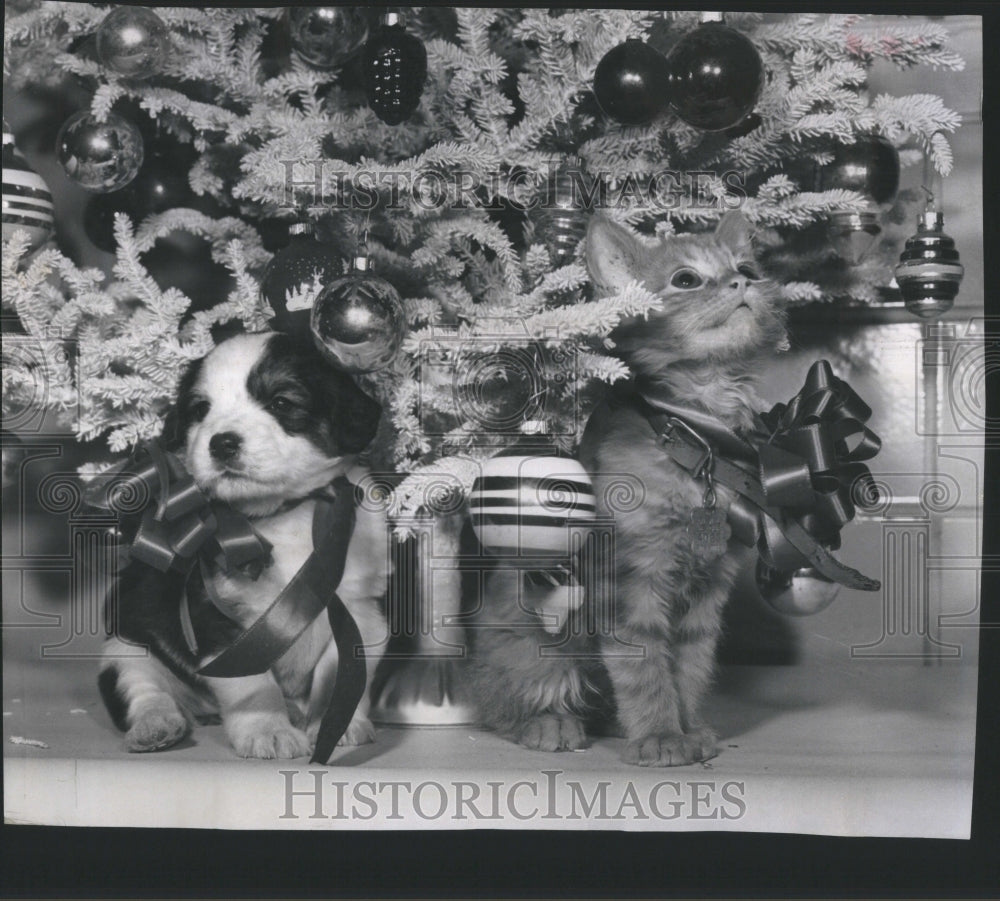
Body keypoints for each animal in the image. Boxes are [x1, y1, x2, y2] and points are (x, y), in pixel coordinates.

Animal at [96, 332, 386, 760]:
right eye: (201, 409)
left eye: (281, 403)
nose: (222, 443)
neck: (282, 515)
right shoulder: (220, 619)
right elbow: (254, 680)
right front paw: (268, 730)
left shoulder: (360, 607)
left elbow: (341, 669)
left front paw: (338, 723)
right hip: (126, 648)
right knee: (143, 690)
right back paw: (156, 726)